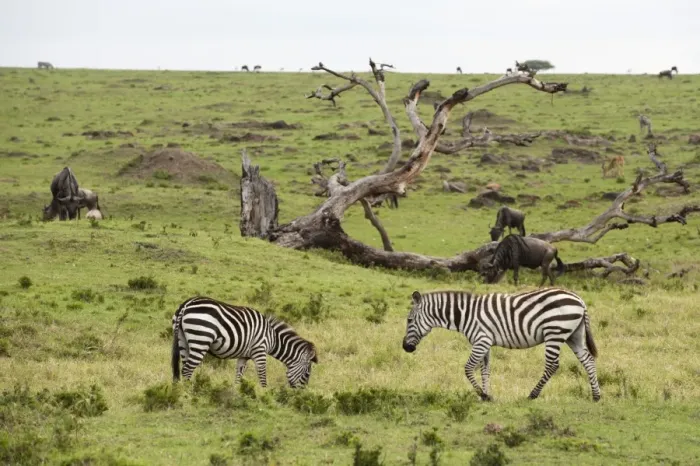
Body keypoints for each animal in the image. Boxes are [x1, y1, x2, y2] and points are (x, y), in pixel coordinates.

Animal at [172, 296, 318, 388]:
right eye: (307, 373)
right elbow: (262, 375)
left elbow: (239, 375)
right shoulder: (260, 351)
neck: (272, 338)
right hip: (200, 339)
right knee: (187, 370)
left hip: (183, 340)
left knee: (184, 368)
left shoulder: (244, 356)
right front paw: (264, 394)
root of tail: (186, 304)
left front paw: (237, 392)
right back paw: (190, 393)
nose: (301, 393)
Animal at [402, 288, 600, 402]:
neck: (466, 315)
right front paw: (486, 395)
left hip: (554, 332)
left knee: (552, 365)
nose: (405, 348)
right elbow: (485, 370)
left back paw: (532, 395)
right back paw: (596, 396)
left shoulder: (481, 341)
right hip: (574, 335)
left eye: (409, 320)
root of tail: (580, 300)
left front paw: (483, 395)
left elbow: (468, 368)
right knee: (588, 360)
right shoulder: (485, 343)